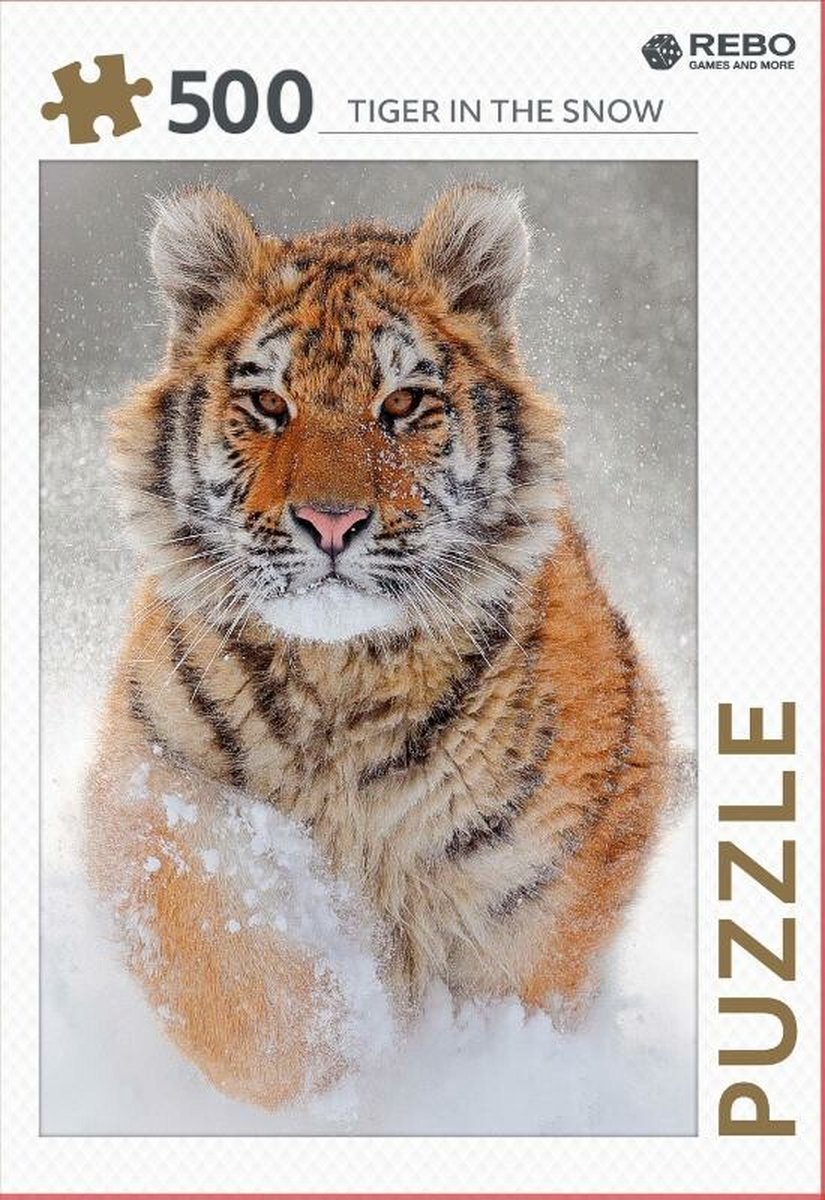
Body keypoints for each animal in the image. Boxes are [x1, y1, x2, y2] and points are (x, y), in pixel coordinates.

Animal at [86, 183, 670, 1110]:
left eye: (400, 405)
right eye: (268, 405)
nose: (330, 522)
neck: (340, 678)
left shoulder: (542, 880)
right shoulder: (153, 783)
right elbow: (233, 974)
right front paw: (331, 1077)